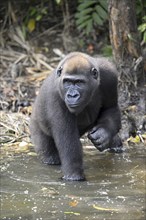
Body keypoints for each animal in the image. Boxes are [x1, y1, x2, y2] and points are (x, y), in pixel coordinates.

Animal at [30, 51, 122, 180]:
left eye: (79, 82)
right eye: (68, 82)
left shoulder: (109, 75)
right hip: (35, 126)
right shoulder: (55, 95)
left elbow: (110, 108)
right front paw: (74, 176)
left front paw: (103, 134)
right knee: (47, 152)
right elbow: (68, 141)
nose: (72, 95)